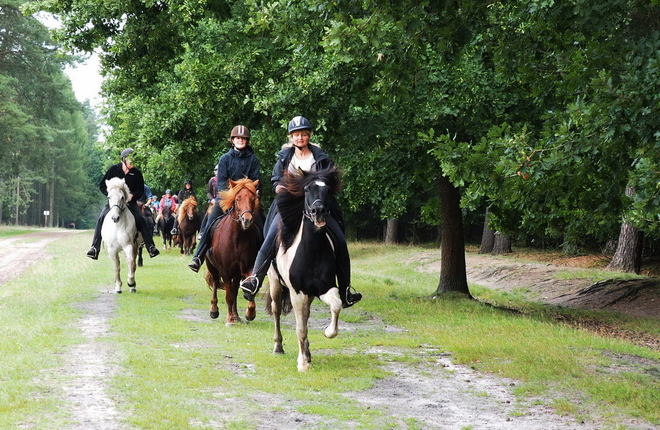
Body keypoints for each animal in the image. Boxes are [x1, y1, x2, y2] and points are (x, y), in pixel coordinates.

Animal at [204, 176, 260, 324]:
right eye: (237, 198)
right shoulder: (225, 270)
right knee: (215, 282)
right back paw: (214, 310)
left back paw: (236, 315)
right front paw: (229, 319)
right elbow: (228, 294)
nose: (247, 220)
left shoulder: (247, 267)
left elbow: (248, 288)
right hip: (212, 266)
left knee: (234, 290)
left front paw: (250, 313)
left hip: (236, 273)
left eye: (253, 198)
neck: (238, 238)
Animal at [266, 166, 342, 372]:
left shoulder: (324, 289)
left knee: (306, 316)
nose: (318, 211)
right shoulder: (297, 293)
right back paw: (278, 347)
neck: (312, 252)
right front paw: (302, 364)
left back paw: (307, 352)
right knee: (276, 311)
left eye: (328, 190)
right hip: (275, 283)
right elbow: (300, 328)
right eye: (307, 190)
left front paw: (328, 332)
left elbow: (336, 304)